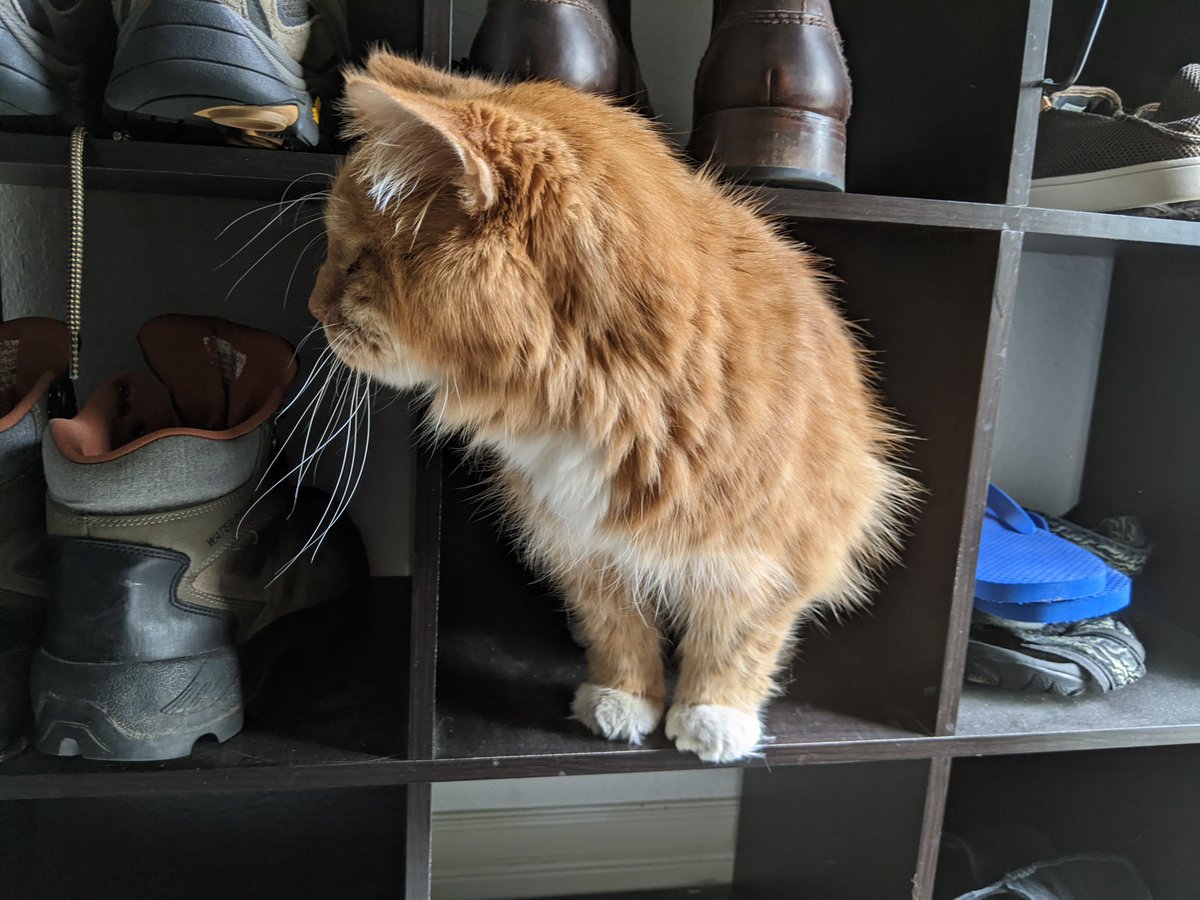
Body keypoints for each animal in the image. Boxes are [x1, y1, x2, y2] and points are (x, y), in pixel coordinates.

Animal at [309, 51, 916, 763]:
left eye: (354, 263)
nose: (314, 310)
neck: (610, 391)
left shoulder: (774, 549)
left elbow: (737, 639)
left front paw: (714, 715)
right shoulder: (581, 541)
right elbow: (616, 627)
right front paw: (623, 698)